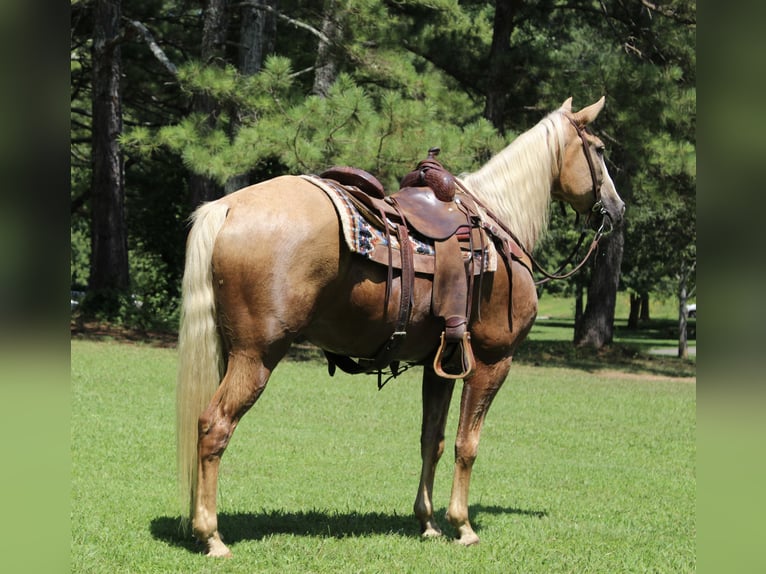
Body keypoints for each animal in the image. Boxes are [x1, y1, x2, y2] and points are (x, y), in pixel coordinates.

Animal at [176, 96, 625, 557]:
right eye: (599, 150)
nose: (618, 208)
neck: (498, 228)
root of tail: (229, 207)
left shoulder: (440, 366)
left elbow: (434, 440)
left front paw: (428, 522)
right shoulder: (492, 361)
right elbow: (467, 444)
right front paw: (462, 525)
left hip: (230, 352)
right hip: (257, 356)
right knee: (214, 427)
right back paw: (212, 536)